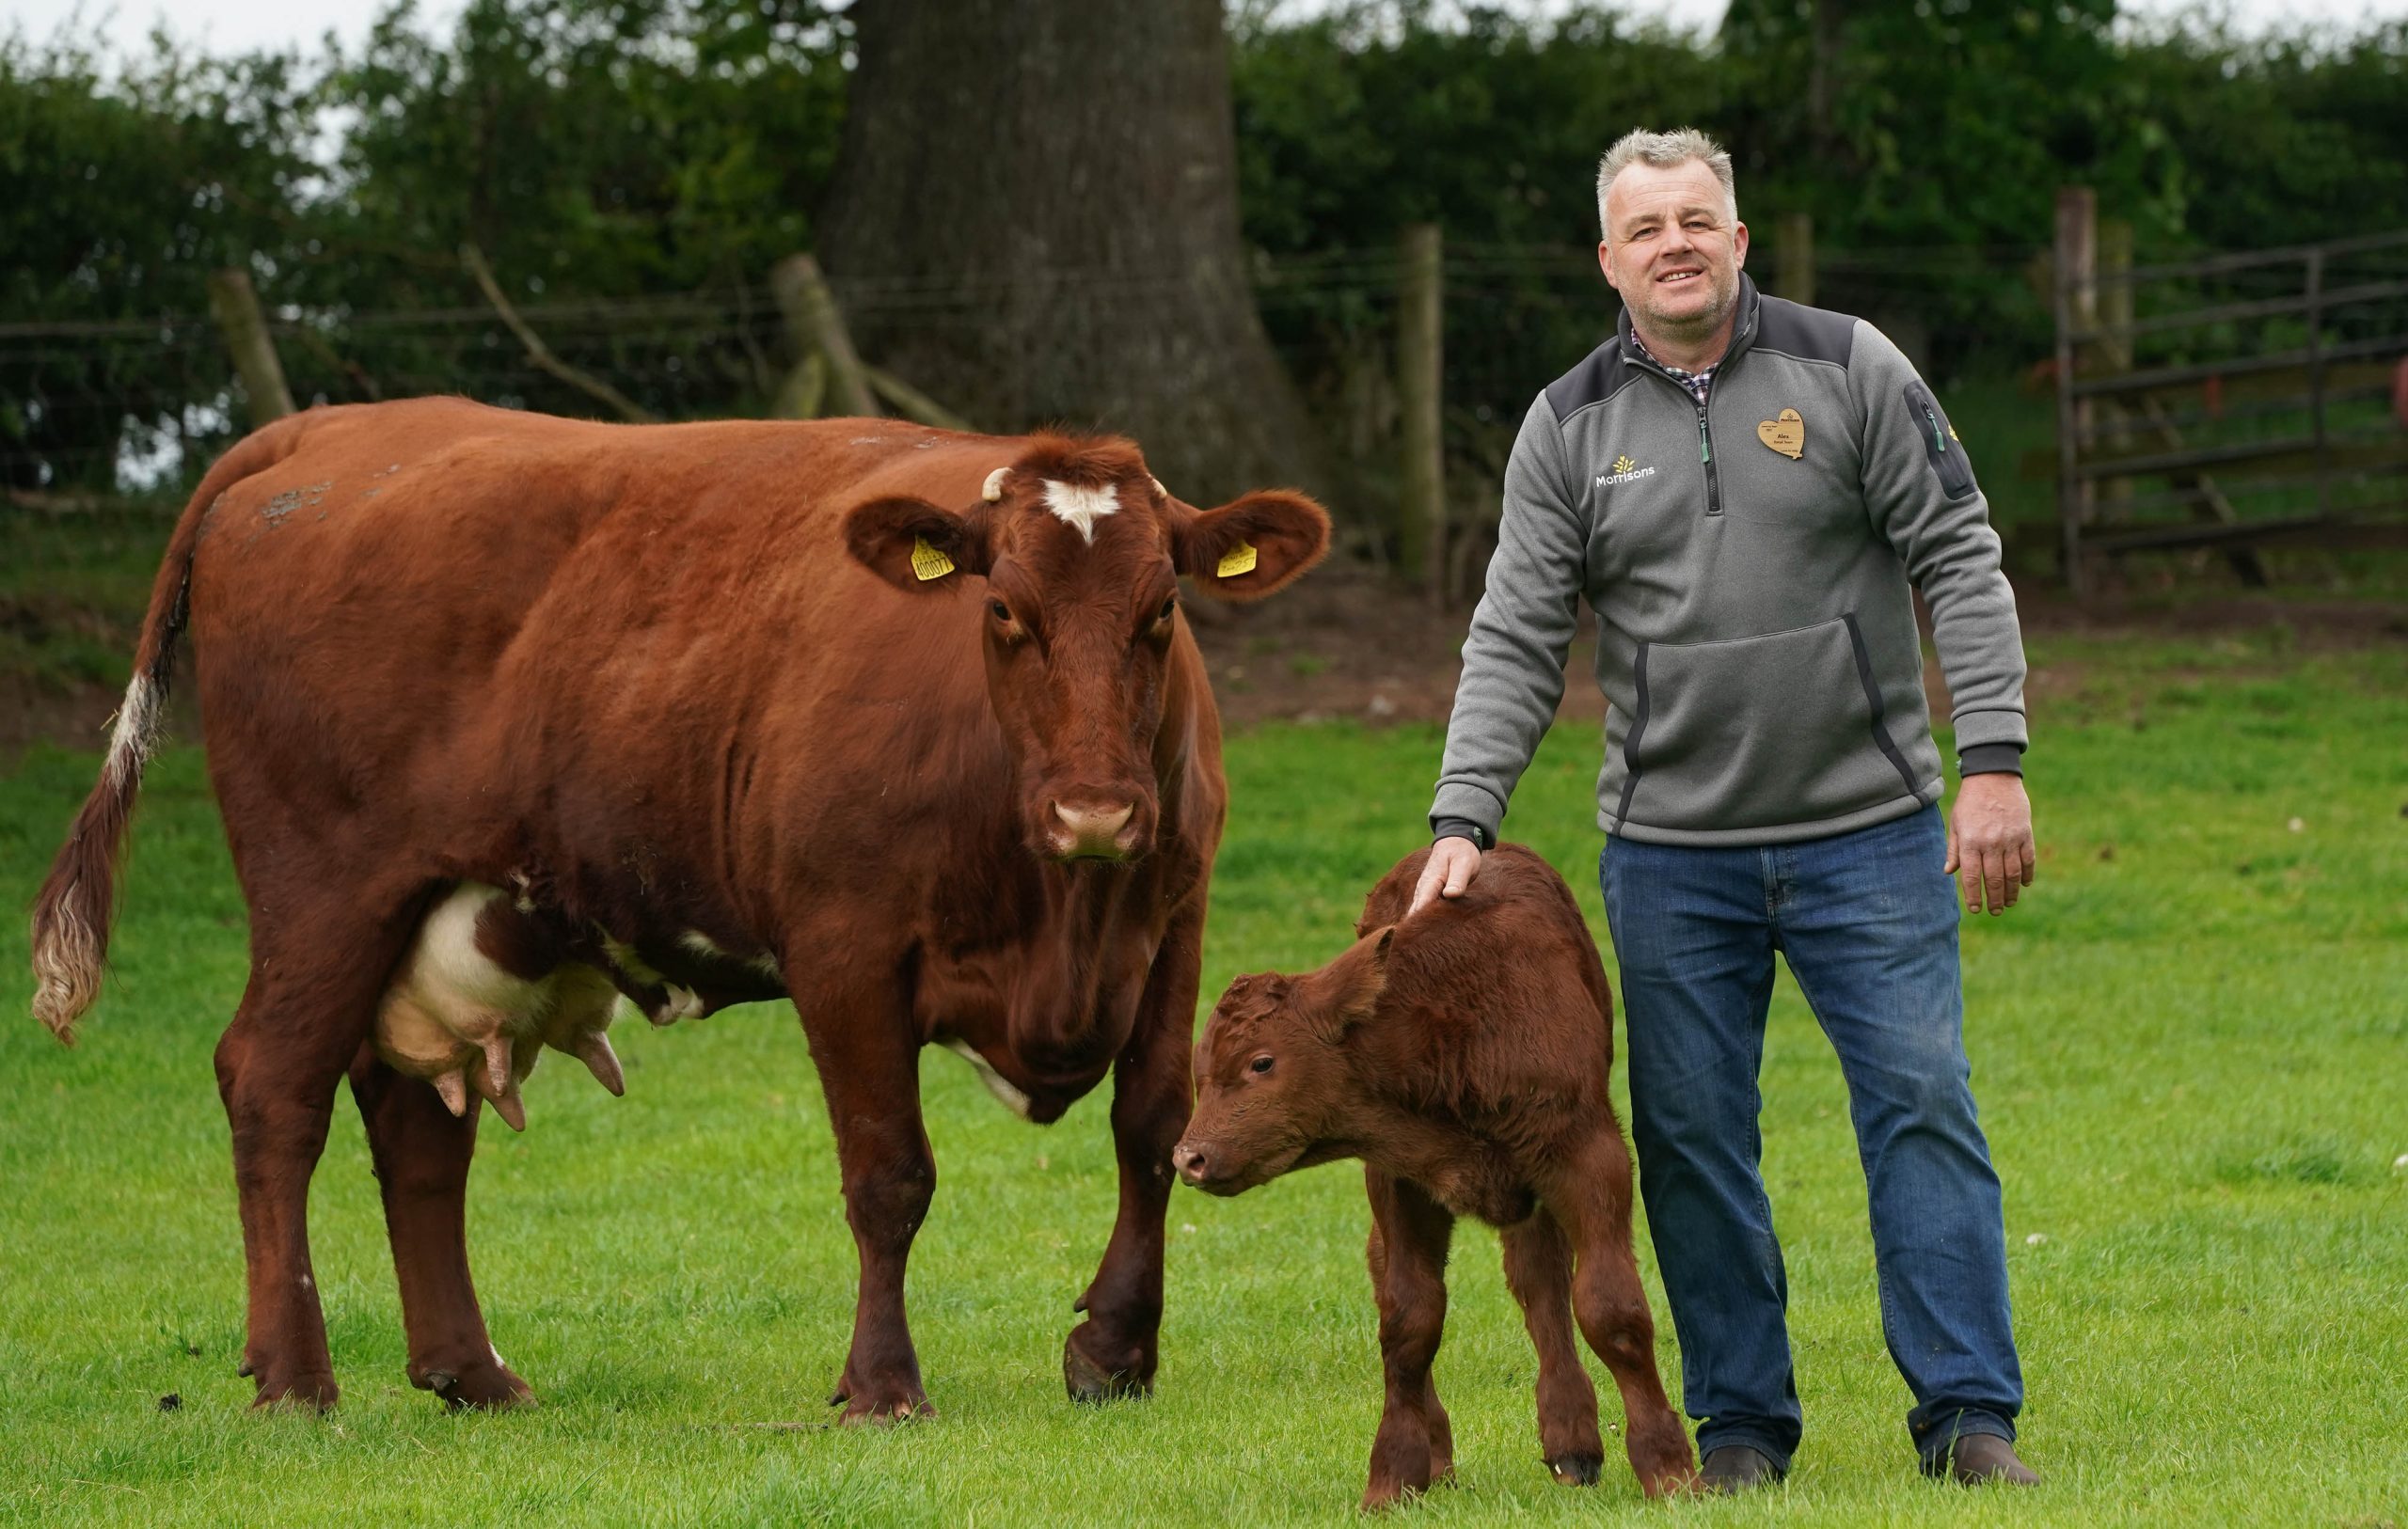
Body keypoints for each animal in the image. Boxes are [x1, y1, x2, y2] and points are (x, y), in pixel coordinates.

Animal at [29, 397, 1329, 1421]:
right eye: (1003, 610)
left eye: (1162, 610)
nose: (1094, 810)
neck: (1057, 904)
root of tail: (326, 430)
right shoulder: (843, 943)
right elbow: (889, 1175)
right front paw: (882, 1386)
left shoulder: (1171, 921)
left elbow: (1150, 1129)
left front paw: (1114, 1353)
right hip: (321, 890)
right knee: (274, 1088)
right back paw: (297, 1379)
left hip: (437, 911)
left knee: (414, 1127)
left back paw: (470, 1373)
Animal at [1172, 844, 1696, 1507]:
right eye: (1200, 1069)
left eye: (1261, 1062)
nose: (1188, 1157)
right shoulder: (1398, 1178)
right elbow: (1409, 1321)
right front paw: (1394, 1473)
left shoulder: (1588, 1155)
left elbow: (1609, 1307)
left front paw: (1670, 1468)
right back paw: (1444, 1452)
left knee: (1541, 1283)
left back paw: (1570, 1441)